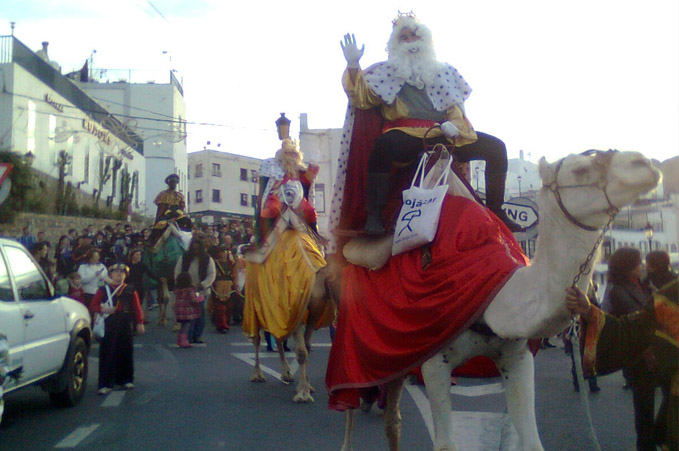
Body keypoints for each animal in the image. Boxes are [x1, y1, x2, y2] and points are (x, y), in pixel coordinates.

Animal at [342, 151, 660, 451]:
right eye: (580, 169)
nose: (645, 163)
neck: (497, 296)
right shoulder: (434, 362)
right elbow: (445, 444)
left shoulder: (516, 356)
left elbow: (533, 442)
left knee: (392, 418)